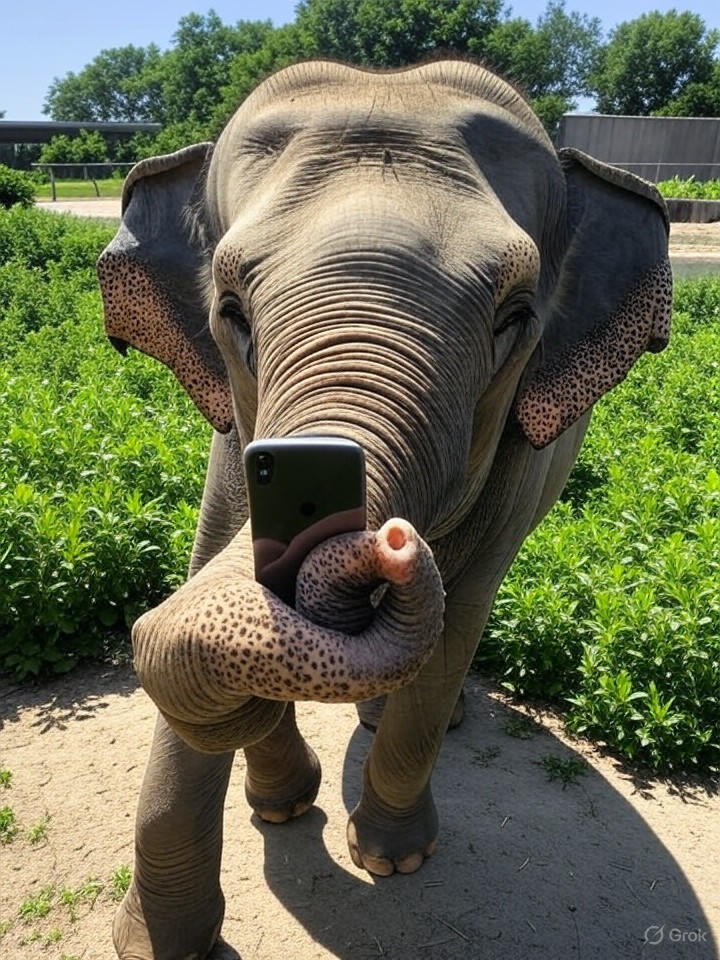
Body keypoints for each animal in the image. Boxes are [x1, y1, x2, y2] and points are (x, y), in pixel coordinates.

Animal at [97, 59, 672, 960]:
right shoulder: (229, 440)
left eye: (515, 317)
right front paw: (256, 835)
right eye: (230, 310)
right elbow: (209, 573)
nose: (393, 542)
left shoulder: (513, 473)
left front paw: (392, 861)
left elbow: (457, 622)